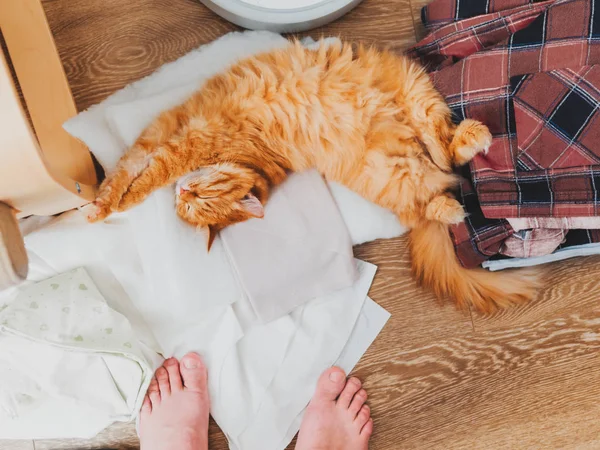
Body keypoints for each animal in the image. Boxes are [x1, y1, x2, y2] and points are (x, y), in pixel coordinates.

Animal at [91, 40, 540, 312]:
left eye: (200, 199)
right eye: (188, 206)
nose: (182, 193)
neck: (247, 159)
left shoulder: (179, 141)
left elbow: (138, 178)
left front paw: (104, 206)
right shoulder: (163, 139)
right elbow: (129, 171)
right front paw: (107, 202)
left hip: (418, 99)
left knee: (442, 160)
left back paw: (470, 147)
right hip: (394, 170)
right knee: (433, 190)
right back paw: (456, 193)